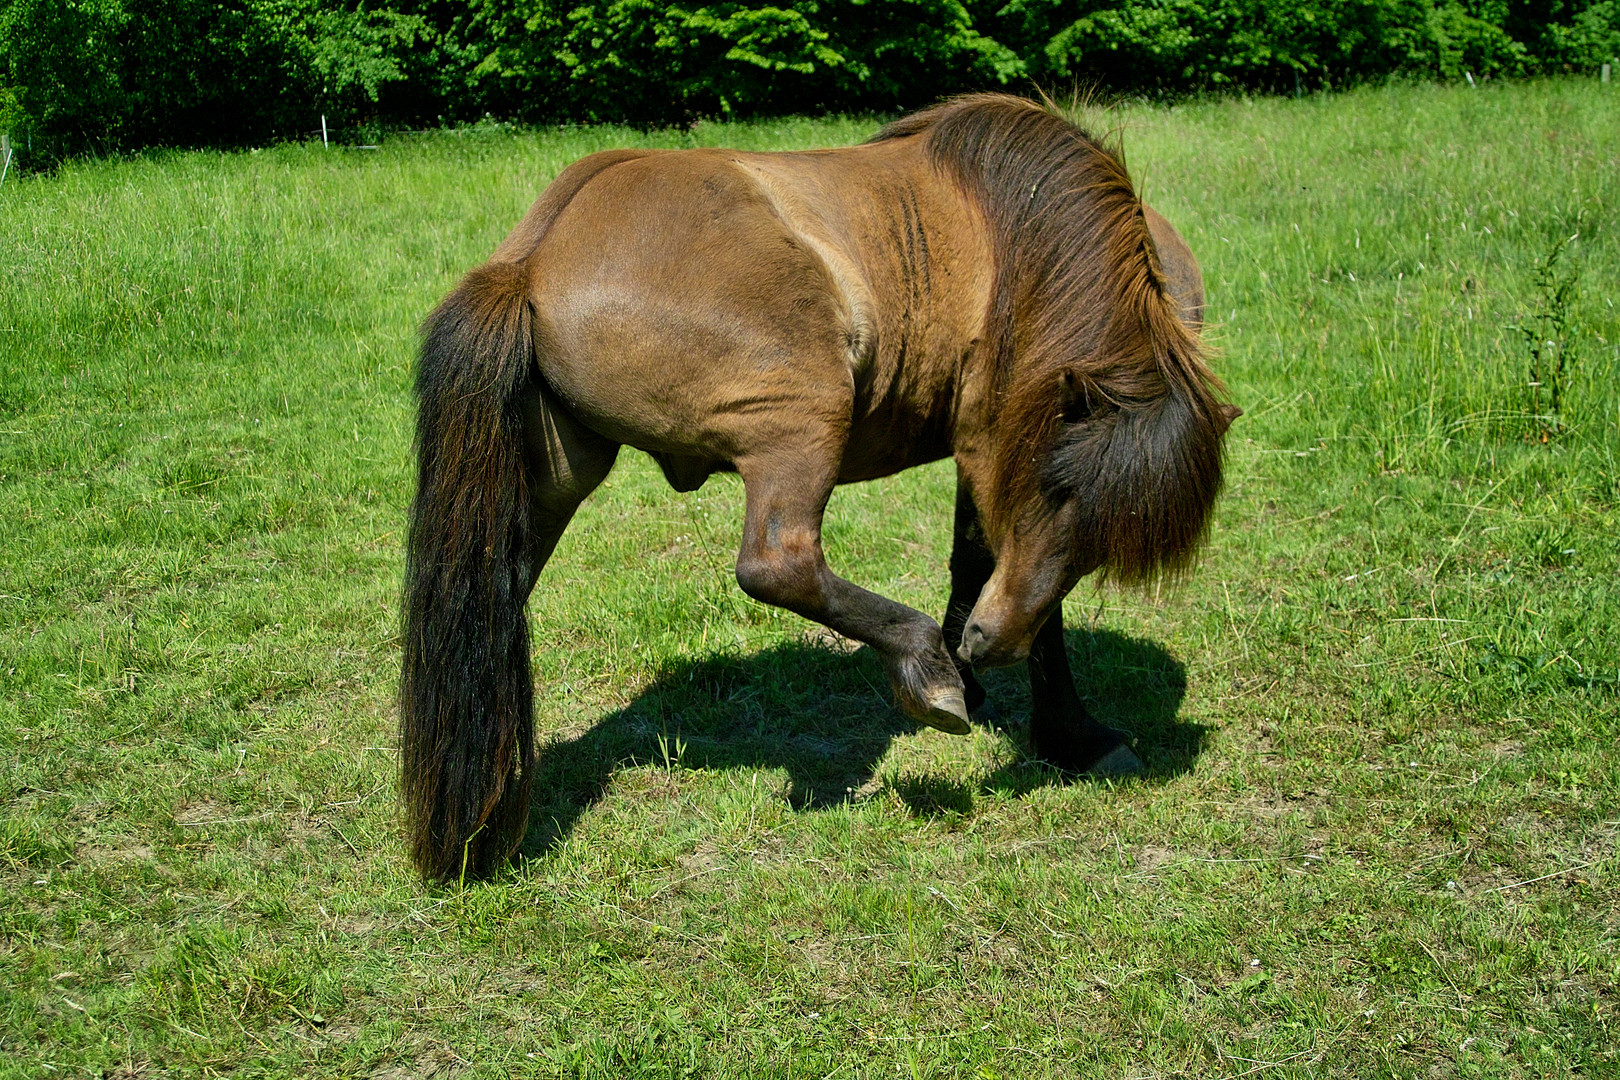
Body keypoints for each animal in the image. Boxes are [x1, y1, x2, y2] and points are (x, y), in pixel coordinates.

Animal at [398, 97, 1231, 880]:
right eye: (1053, 489)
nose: (985, 644)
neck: (1020, 245)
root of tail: (537, 255)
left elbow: (981, 565)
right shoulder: (991, 452)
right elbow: (1026, 593)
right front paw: (1065, 730)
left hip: (552, 481)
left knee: (493, 598)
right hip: (804, 419)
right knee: (780, 564)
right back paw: (923, 666)